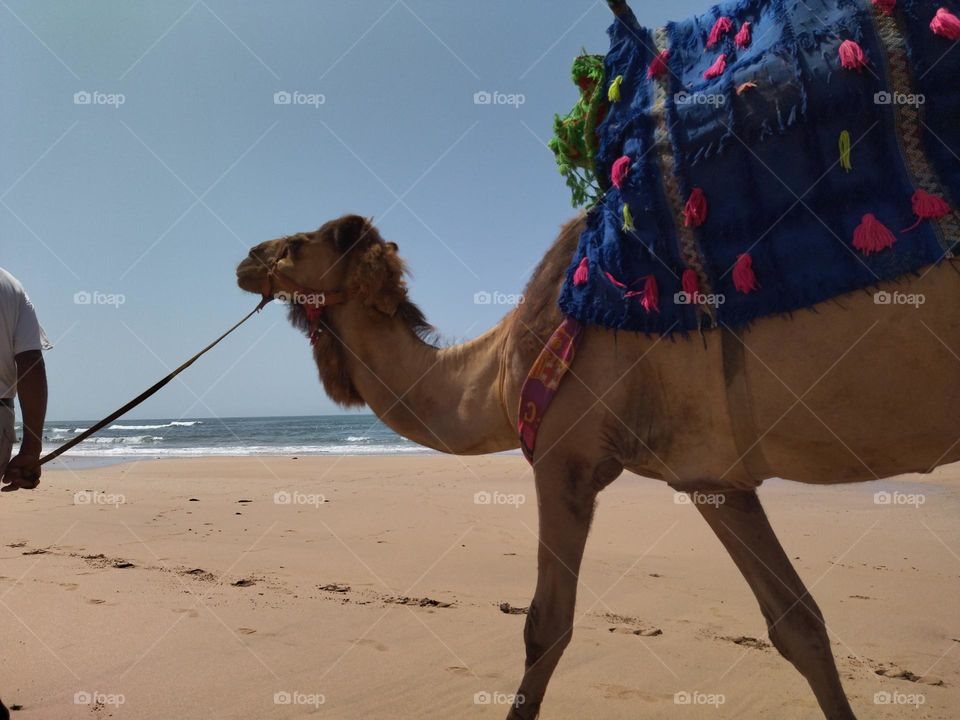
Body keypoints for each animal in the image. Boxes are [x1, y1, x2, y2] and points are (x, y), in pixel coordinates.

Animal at [236, 210, 960, 720]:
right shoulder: (712, 477)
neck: (498, 369)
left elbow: (545, 627)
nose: (245, 258)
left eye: (300, 242)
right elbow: (798, 624)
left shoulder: (563, 458)